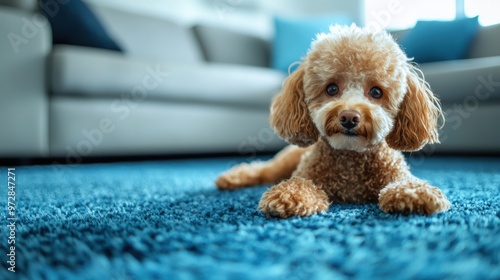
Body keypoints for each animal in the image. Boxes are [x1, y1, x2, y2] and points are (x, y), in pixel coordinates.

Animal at [215, 24, 450, 219]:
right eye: (331, 89)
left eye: (376, 92)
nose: (349, 117)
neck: (350, 158)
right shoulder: (307, 174)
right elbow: (299, 184)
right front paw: (287, 195)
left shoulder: (395, 173)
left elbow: (406, 182)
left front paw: (415, 194)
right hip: (283, 162)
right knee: (262, 169)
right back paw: (233, 177)